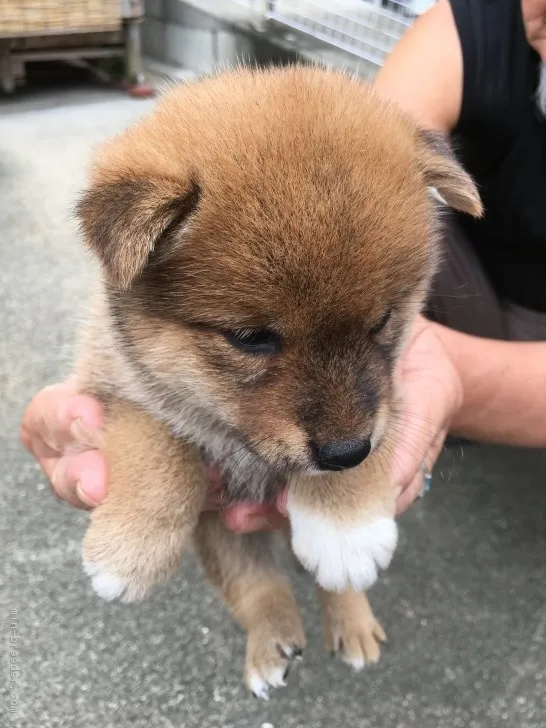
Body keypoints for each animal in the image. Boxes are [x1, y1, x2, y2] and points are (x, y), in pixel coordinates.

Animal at [72, 65, 480, 696]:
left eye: (384, 321)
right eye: (250, 337)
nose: (344, 452)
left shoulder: (393, 392)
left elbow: (376, 442)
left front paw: (345, 524)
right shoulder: (114, 386)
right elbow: (157, 443)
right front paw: (130, 549)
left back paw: (351, 621)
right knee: (257, 587)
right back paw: (272, 641)